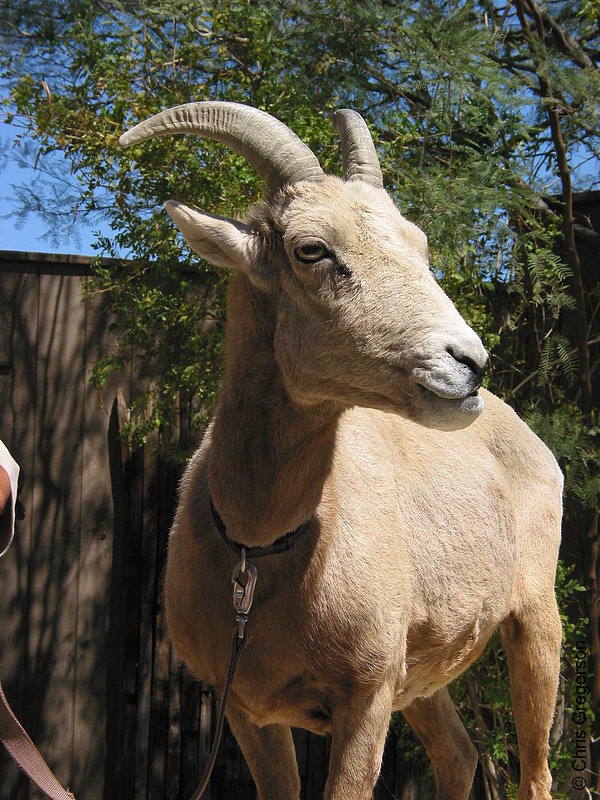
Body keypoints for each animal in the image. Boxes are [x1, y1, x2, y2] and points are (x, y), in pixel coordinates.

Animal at [120, 103, 564, 800]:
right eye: (311, 249)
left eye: (419, 244)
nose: (467, 362)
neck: (258, 555)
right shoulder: (248, 709)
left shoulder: (367, 695)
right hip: (421, 679)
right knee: (460, 755)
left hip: (535, 616)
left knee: (535, 772)